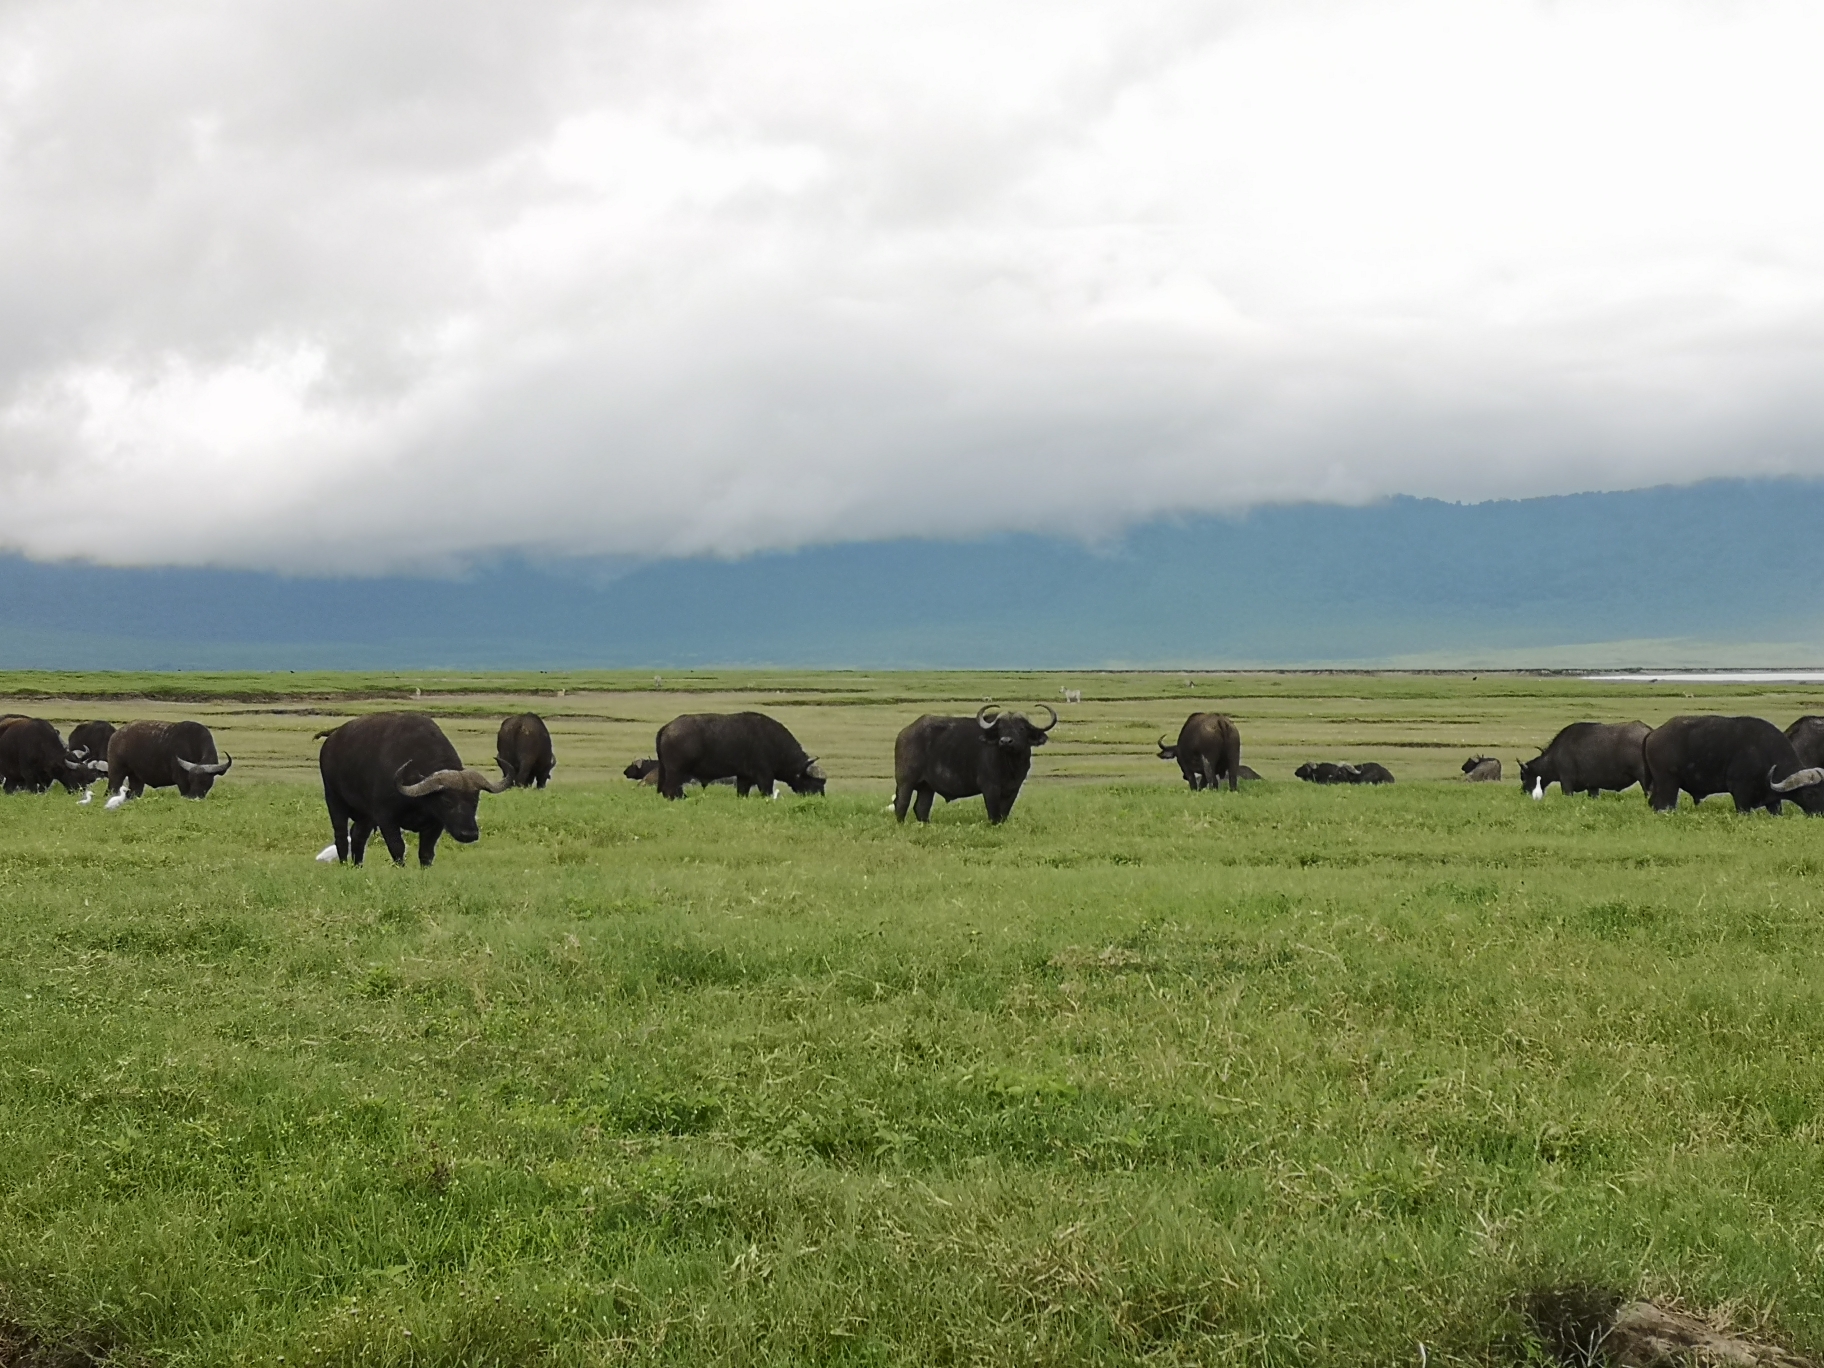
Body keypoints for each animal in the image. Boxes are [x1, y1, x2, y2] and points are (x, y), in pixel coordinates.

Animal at [317, 718, 510, 868]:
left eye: (475, 801)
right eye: (447, 801)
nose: (469, 834)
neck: (418, 800)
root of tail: (332, 736)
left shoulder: (436, 823)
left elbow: (426, 852)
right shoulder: (386, 818)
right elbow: (398, 847)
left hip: (366, 815)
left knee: (358, 835)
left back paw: (358, 865)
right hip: (334, 800)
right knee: (341, 836)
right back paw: (344, 864)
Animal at [656, 718, 828, 802]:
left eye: (822, 783)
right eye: (813, 782)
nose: (820, 797)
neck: (774, 742)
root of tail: (667, 726)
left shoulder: (744, 777)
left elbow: (742, 792)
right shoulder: (764, 776)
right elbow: (766, 791)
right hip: (676, 772)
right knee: (670, 789)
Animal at [893, 707, 1057, 824]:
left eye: (1021, 728)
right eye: (1000, 728)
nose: (1005, 741)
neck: (1010, 765)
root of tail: (903, 734)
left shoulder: (1014, 789)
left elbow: (1004, 813)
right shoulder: (990, 787)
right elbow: (994, 814)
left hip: (927, 787)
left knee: (921, 808)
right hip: (905, 782)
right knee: (901, 804)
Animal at [1517, 722, 1648, 798]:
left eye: (1524, 776)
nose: (1523, 792)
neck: (1554, 757)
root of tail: (1648, 733)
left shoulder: (1566, 782)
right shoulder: (1593, 787)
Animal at [1641, 718, 1824, 813]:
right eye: (1810, 794)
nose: (1820, 813)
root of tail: (1653, 733)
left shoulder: (1773, 801)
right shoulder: (1741, 794)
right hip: (1668, 785)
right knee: (1664, 806)